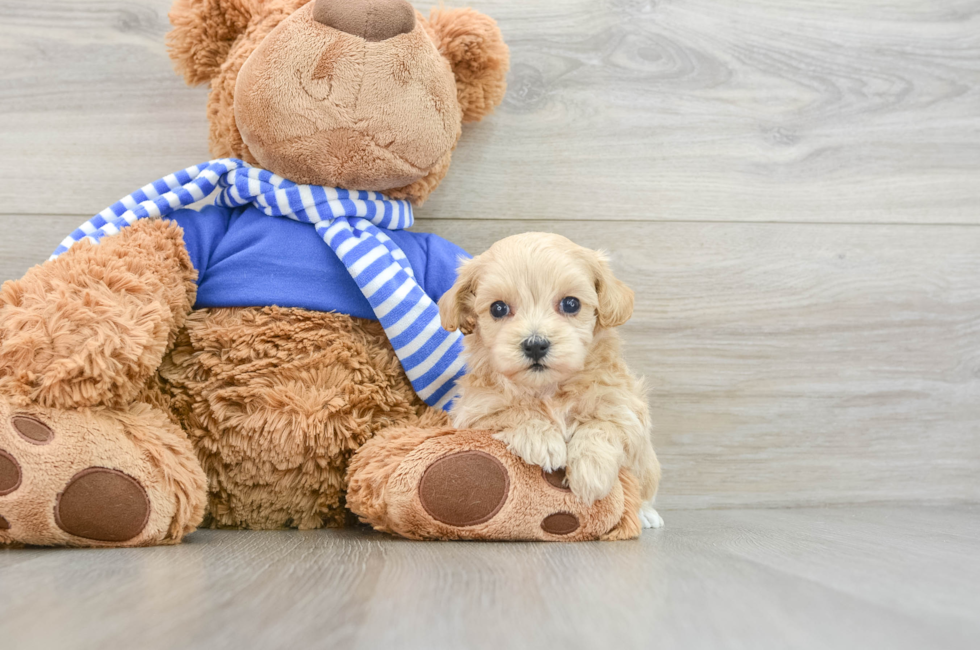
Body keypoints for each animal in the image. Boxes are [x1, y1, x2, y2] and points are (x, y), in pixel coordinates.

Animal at [440, 233, 664, 528]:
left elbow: (602, 426)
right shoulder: (475, 412)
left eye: (571, 303)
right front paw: (542, 439)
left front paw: (591, 472)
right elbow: (512, 411)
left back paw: (645, 513)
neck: (548, 389)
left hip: (648, 468)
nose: (535, 345)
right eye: (498, 308)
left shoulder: (625, 411)